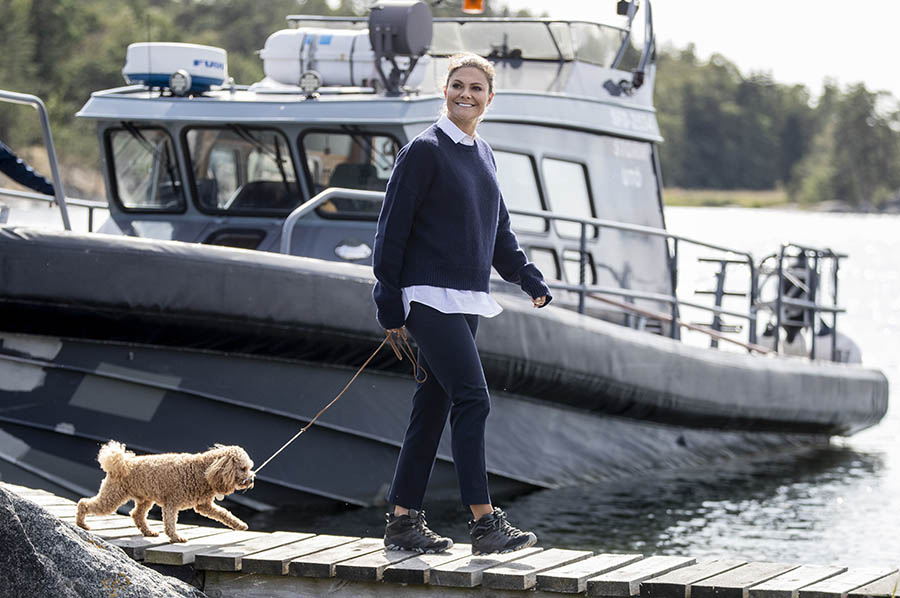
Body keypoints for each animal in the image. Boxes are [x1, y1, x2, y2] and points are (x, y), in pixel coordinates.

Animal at [75, 440, 255, 544]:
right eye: (243, 468)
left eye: (249, 468)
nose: (252, 480)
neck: (203, 470)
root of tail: (121, 463)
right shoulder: (172, 502)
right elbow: (170, 522)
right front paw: (176, 537)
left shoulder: (204, 505)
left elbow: (224, 513)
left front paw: (240, 525)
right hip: (112, 497)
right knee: (84, 503)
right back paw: (81, 523)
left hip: (145, 499)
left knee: (137, 515)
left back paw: (148, 532)